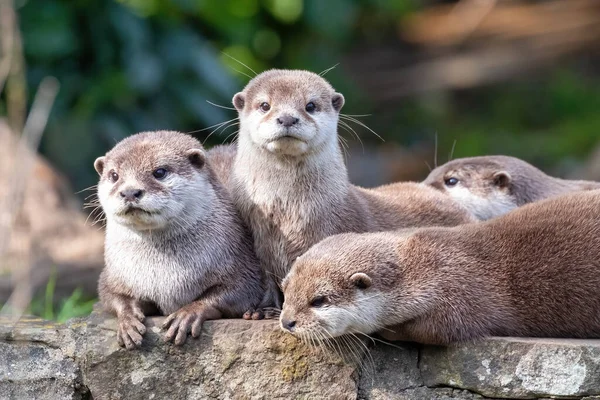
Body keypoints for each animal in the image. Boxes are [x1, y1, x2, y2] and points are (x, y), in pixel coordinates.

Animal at [94, 130, 272, 346]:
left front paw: (188, 313)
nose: (129, 192)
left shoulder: (240, 260)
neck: (164, 275)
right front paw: (127, 320)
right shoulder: (114, 274)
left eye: (159, 172)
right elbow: (111, 295)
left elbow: (241, 290)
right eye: (114, 175)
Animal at [229, 70, 474, 308]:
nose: (288, 118)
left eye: (310, 105)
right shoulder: (260, 241)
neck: (288, 213)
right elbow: (268, 277)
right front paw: (262, 308)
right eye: (264, 105)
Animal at [278, 189, 600, 346]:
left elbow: (438, 330)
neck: (421, 265)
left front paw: (389, 331)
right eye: (285, 291)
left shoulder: (461, 289)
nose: (287, 322)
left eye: (319, 300)